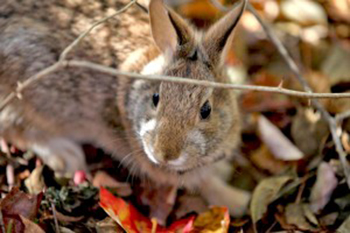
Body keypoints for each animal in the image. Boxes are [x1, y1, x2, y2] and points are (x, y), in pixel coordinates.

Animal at [0, 0, 252, 216]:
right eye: (156, 98)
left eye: (206, 110)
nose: (164, 154)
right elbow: (204, 183)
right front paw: (238, 201)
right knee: (15, 128)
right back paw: (65, 155)